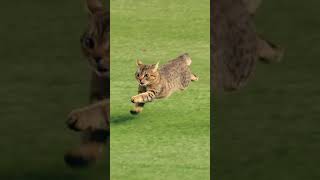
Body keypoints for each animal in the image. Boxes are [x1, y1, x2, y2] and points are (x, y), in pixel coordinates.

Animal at [64, 0, 110, 168]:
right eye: (89, 42)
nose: (96, 58)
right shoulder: (96, 93)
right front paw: (85, 153)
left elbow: (103, 109)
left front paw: (81, 116)